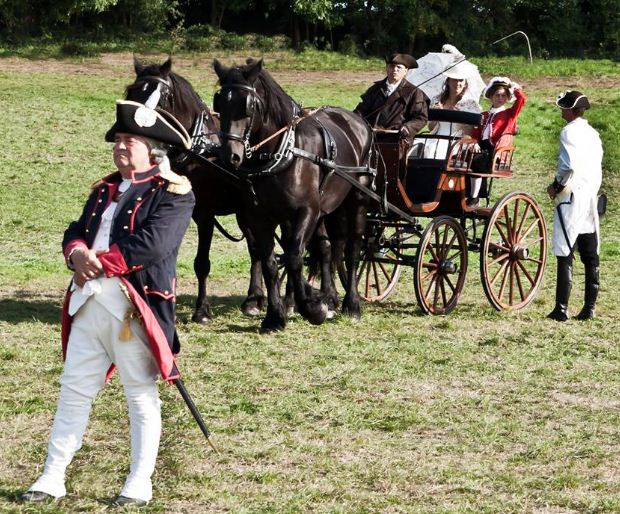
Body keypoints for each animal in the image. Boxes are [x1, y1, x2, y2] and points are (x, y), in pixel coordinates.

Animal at [127, 58, 266, 322]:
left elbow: (202, 263)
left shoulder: (205, 214)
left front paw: (201, 309)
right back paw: (256, 298)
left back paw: (257, 300)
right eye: (131, 92)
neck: (199, 151)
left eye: (159, 98)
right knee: (257, 250)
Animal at [213, 58, 372, 332]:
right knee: (327, 248)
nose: (229, 155)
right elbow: (270, 262)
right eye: (220, 103)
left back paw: (351, 304)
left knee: (352, 248)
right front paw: (275, 315)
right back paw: (329, 297)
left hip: (356, 199)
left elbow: (295, 256)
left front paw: (311, 309)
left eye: (247, 105)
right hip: (323, 209)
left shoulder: (306, 210)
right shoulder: (259, 217)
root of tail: (357, 120)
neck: (281, 150)